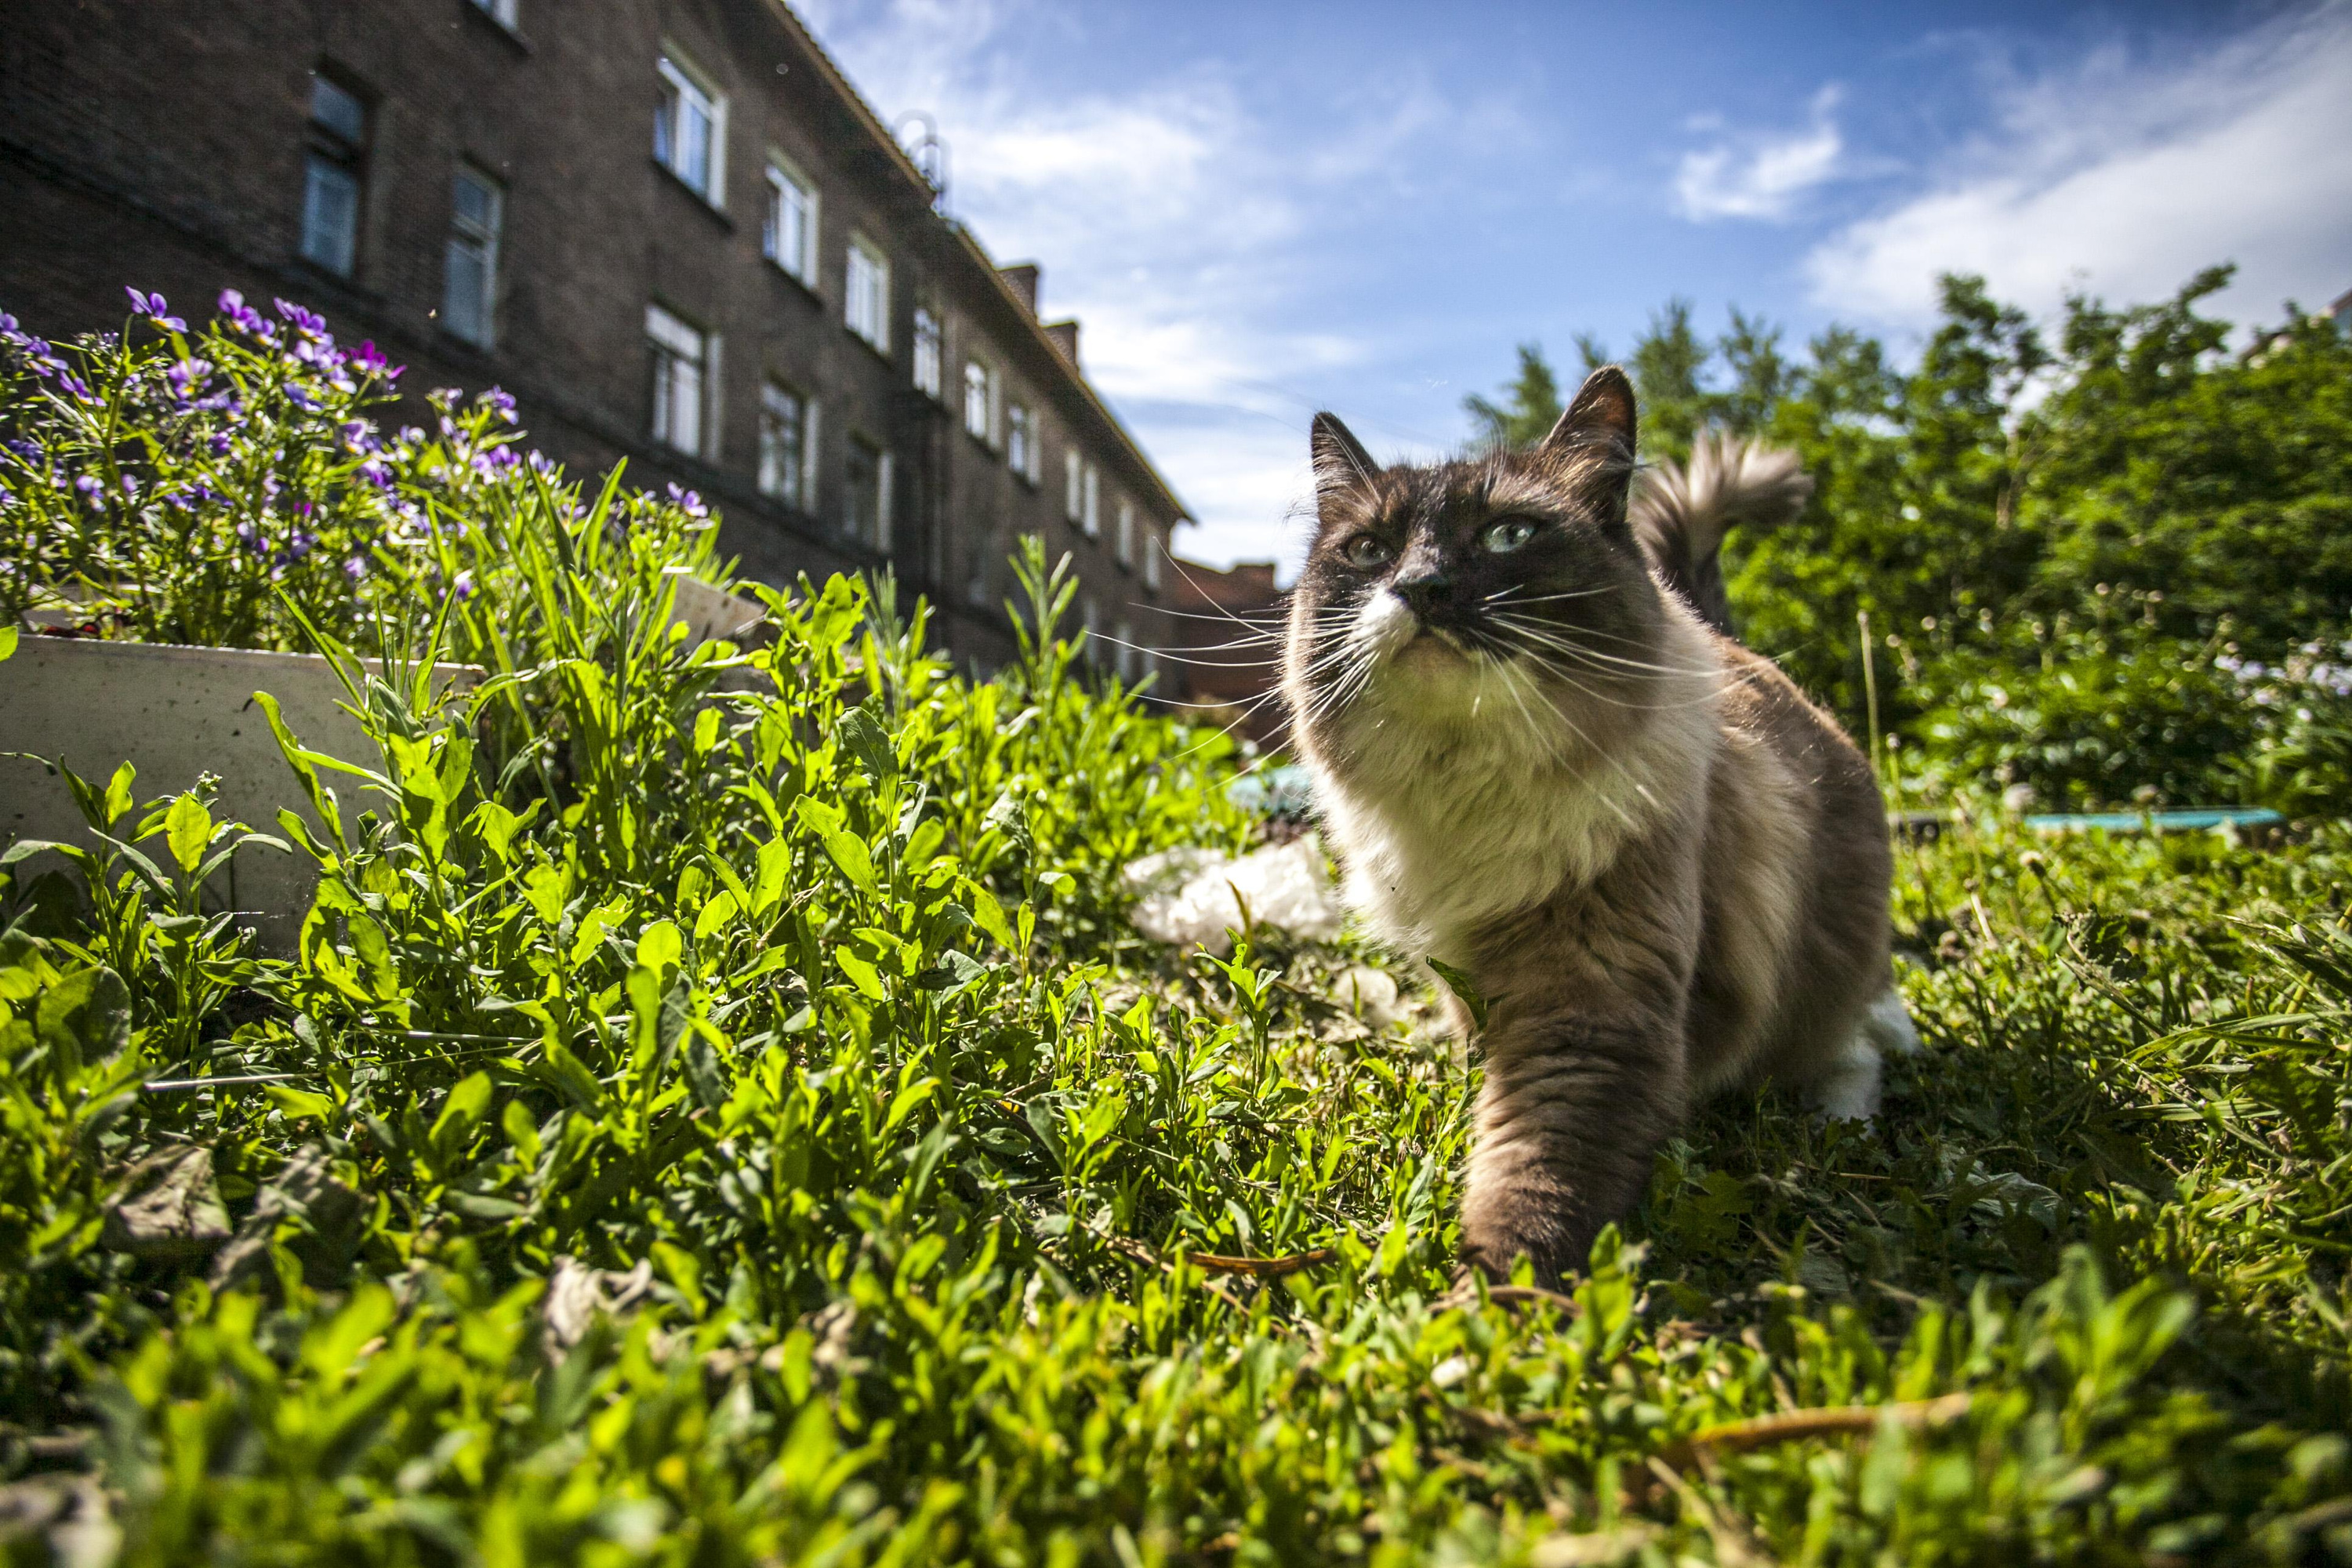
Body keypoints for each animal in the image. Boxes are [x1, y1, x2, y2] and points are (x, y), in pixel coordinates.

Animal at [1289, 368, 1910, 1288]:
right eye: (1371, 551)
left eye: (1509, 534)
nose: (1423, 587)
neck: (1466, 788)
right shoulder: (1476, 976)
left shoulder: (1589, 1015)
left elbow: (1533, 1194)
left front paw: (1482, 1315)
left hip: (1831, 984)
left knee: (1859, 1049)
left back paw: (1838, 1125)